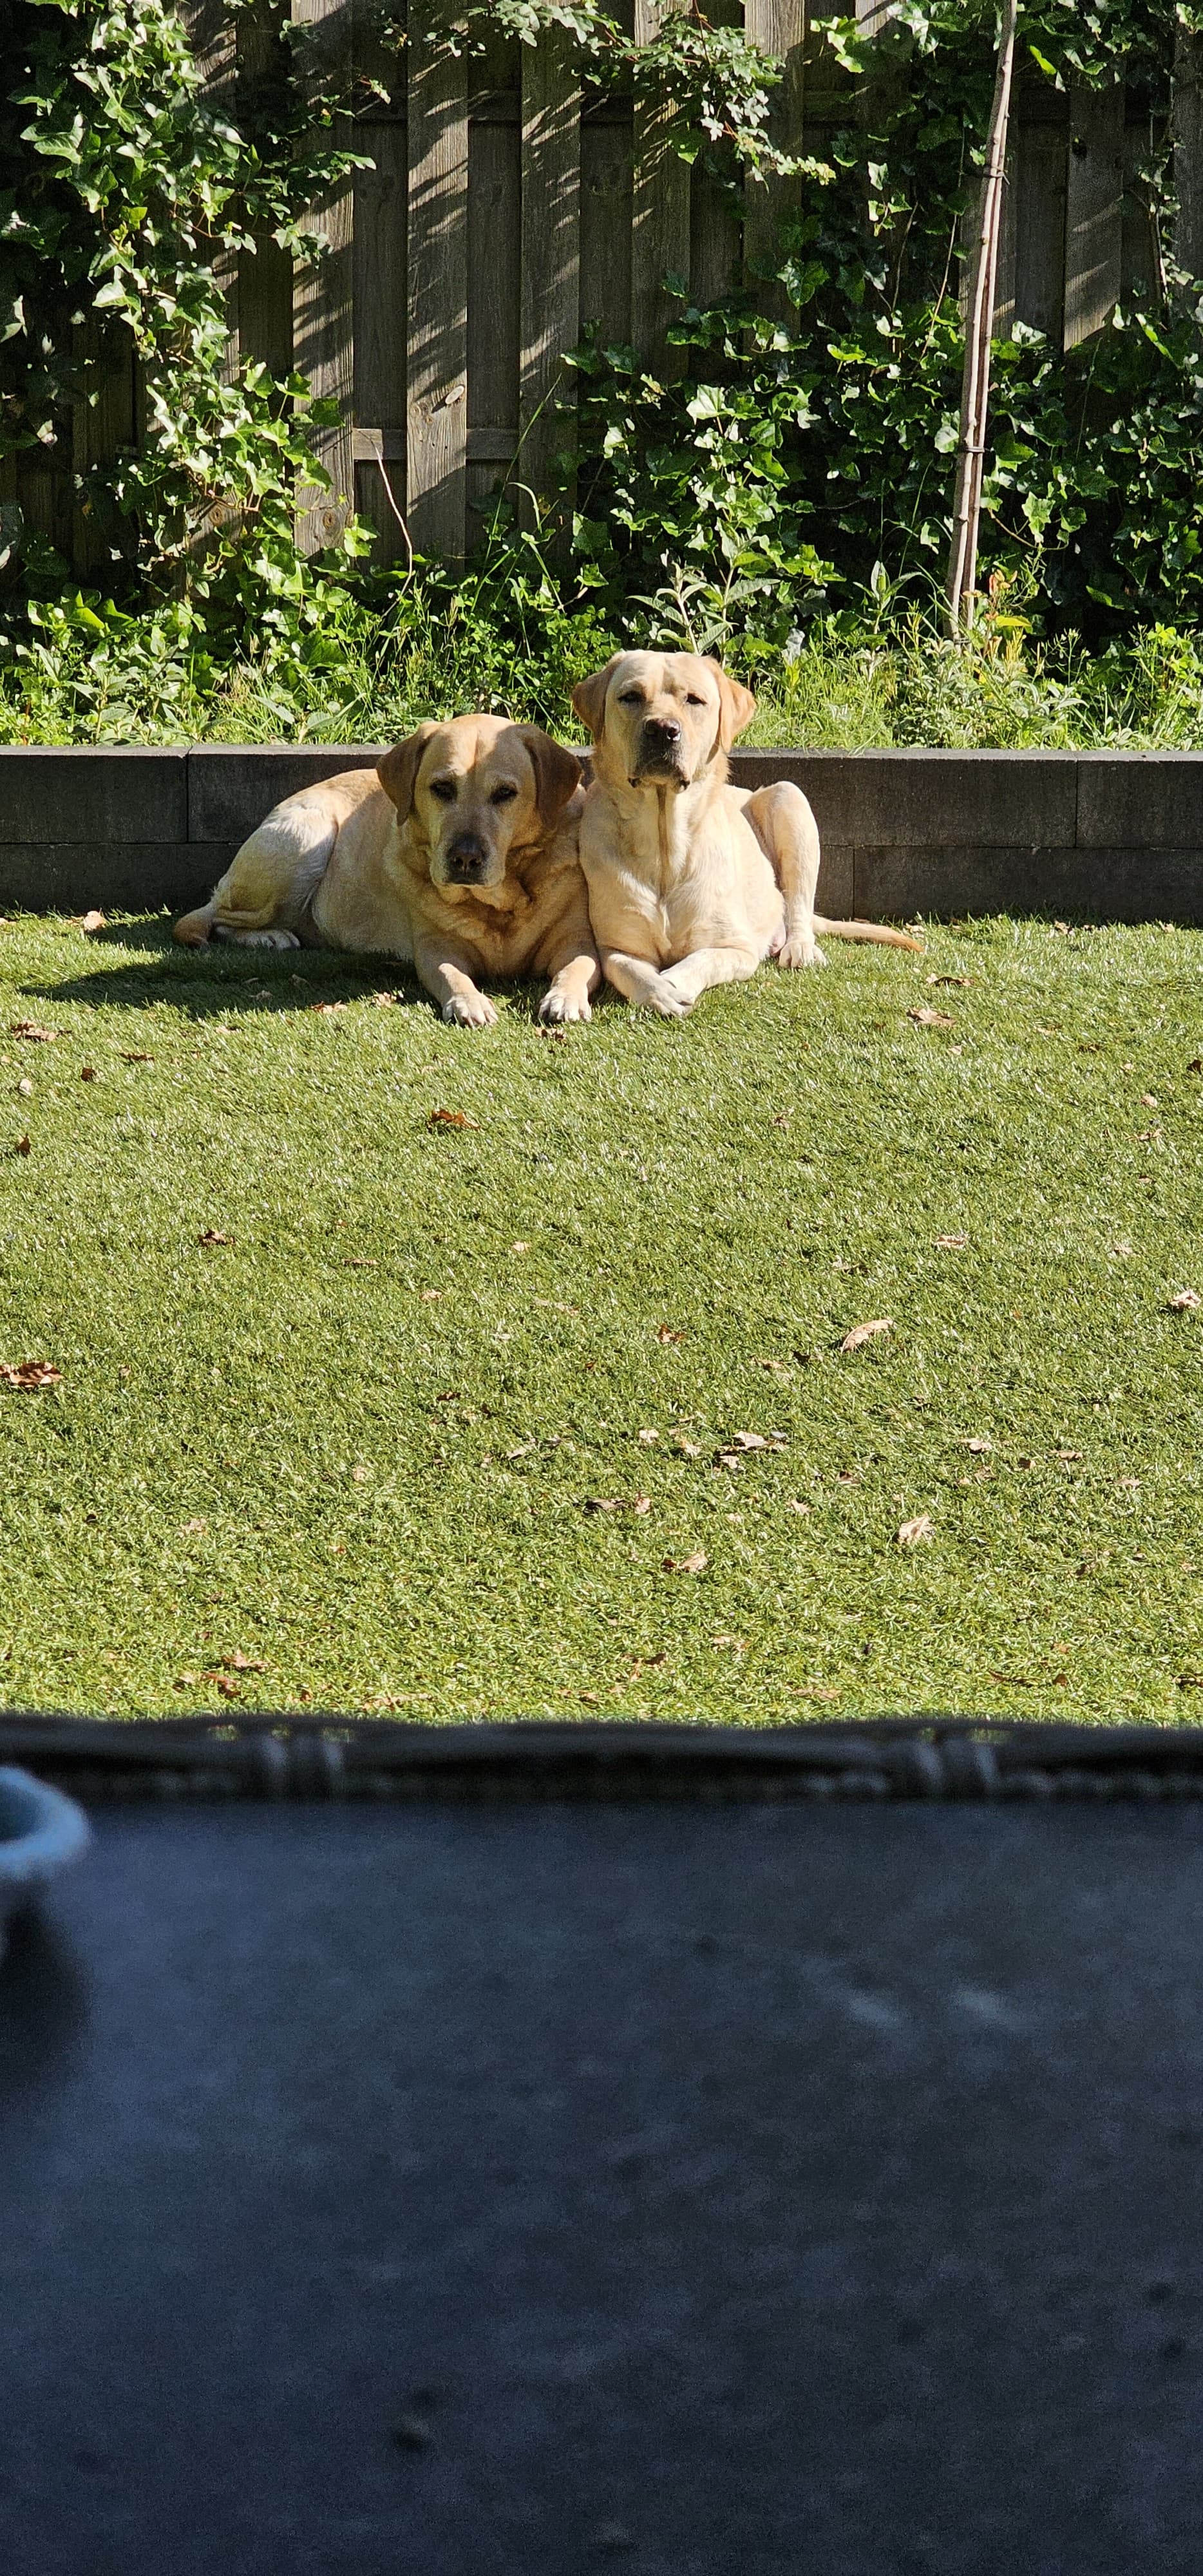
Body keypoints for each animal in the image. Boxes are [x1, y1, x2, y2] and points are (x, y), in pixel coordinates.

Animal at [173, 716, 598, 1025]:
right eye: (442, 788)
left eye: (506, 794)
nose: (464, 858)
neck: (497, 905)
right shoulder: (436, 949)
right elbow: (452, 975)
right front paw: (468, 1002)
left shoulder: (576, 941)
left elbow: (578, 967)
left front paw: (564, 998)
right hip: (308, 839)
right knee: (218, 917)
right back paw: (268, 937)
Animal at [574, 644, 922, 1015]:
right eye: (631, 697)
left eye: (694, 700)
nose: (663, 729)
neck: (665, 843)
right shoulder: (616, 950)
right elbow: (631, 970)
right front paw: (659, 991)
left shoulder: (736, 948)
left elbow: (701, 960)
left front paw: (673, 982)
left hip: (788, 797)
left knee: (798, 907)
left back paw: (799, 948)